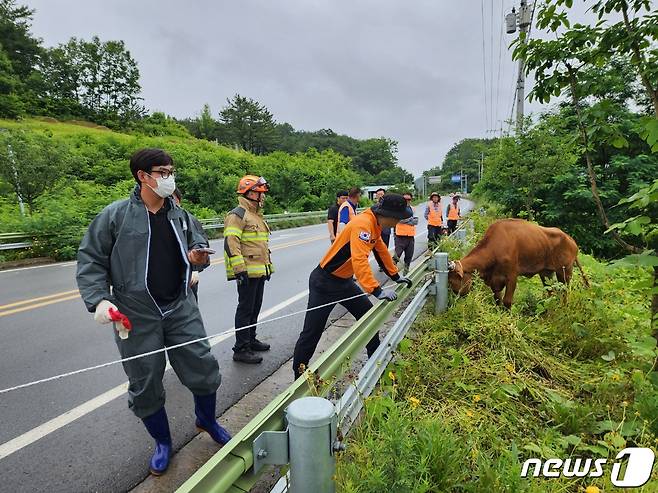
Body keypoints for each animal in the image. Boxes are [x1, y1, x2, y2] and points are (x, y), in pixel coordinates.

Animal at [448, 219, 588, 308]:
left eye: (451, 281)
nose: (454, 302)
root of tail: (571, 239)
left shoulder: (512, 276)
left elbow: (507, 301)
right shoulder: (494, 280)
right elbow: (498, 300)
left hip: (565, 271)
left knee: (564, 291)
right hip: (546, 272)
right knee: (550, 291)